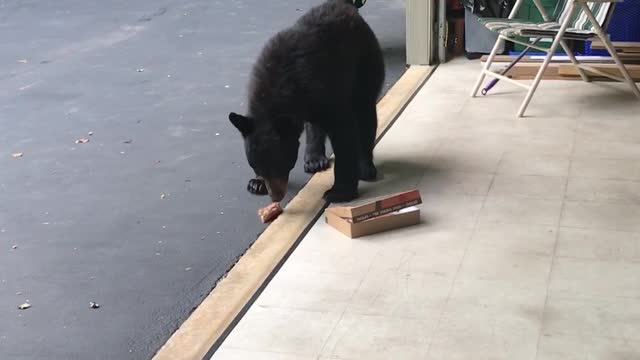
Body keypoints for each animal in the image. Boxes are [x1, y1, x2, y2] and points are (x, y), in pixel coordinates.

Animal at [229, 0, 382, 202]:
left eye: (281, 164)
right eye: (255, 166)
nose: (276, 197)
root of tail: (343, 5)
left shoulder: (325, 91)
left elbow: (344, 134)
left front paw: (339, 191)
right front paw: (257, 183)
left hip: (364, 64)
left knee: (364, 113)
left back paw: (365, 166)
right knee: (315, 124)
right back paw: (314, 158)